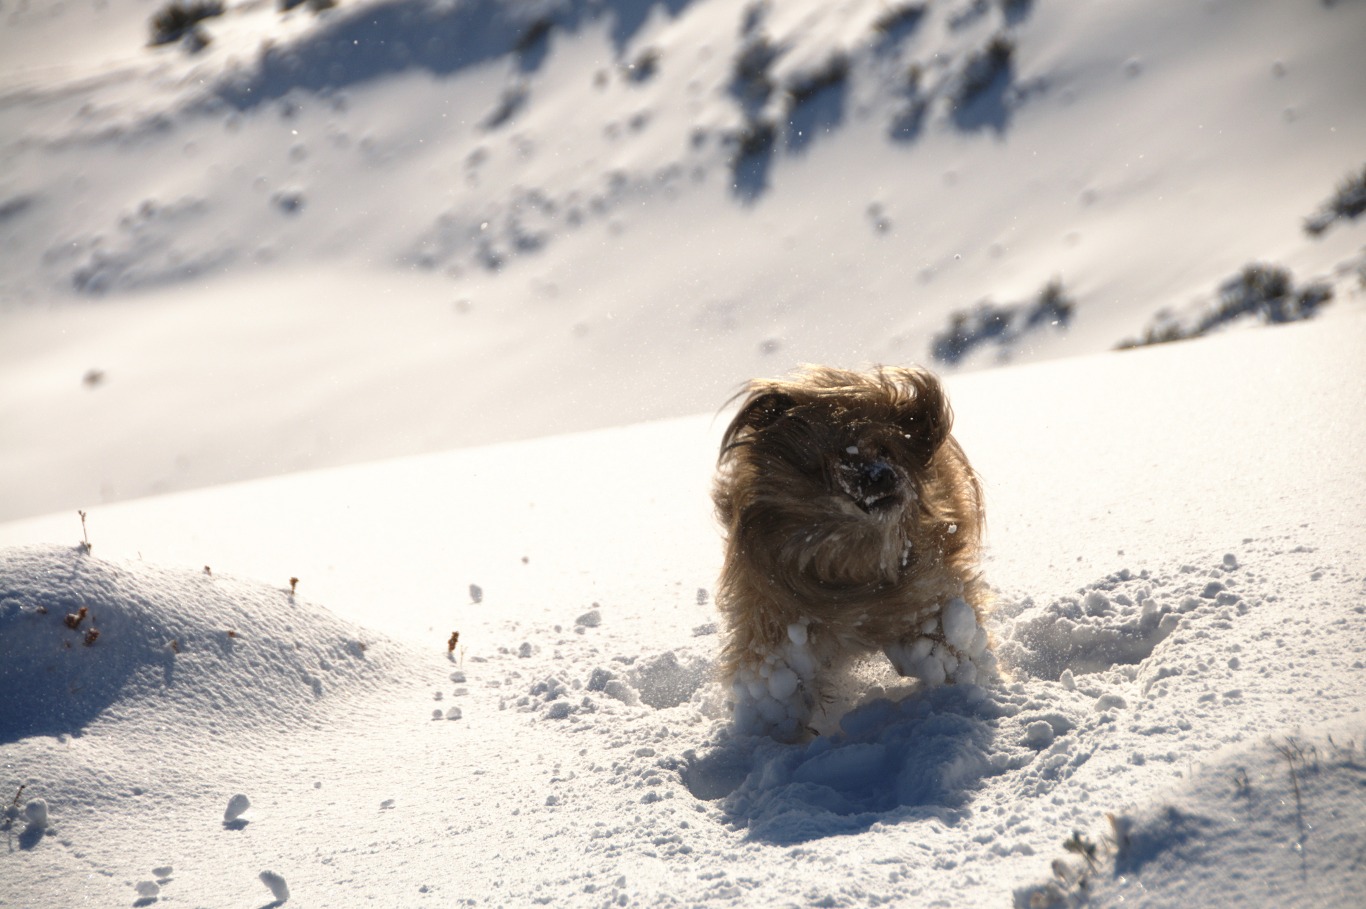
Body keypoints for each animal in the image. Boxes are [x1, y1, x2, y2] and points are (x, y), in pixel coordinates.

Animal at [715, 363, 994, 738]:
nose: (885, 476)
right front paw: (775, 735)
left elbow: (943, 642)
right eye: (838, 459)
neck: (854, 555)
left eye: (887, 450)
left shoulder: (929, 595)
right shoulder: (775, 618)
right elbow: (778, 679)